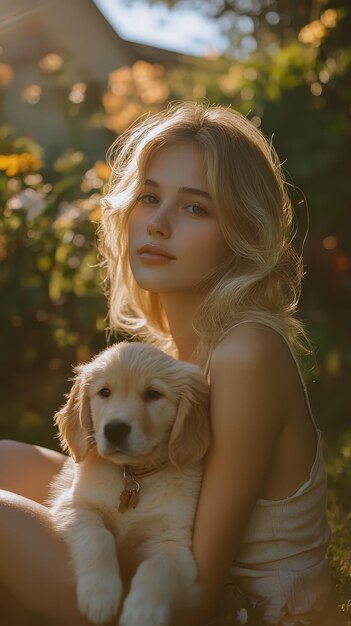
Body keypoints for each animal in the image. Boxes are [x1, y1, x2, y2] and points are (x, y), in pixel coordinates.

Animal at [48, 342, 210, 624]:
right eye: (105, 392)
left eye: (153, 394)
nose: (114, 430)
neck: (133, 475)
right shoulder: (75, 505)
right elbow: (98, 538)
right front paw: (100, 593)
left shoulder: (174, 544)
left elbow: (156, 568)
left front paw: (142, 611)